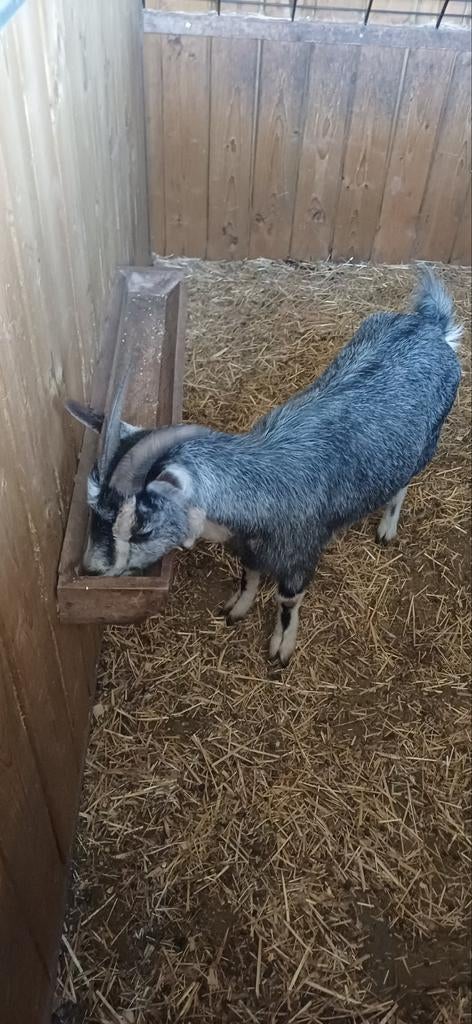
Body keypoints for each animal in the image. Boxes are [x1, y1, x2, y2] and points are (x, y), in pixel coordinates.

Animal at [66, 268, 461, 665]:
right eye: (92, 503)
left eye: (140, 526)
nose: (92, 568)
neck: (262, 484)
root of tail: (430, 325)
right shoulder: (249, 547)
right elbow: (249, 576)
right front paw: (237, 608)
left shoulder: (299, 555)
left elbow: (287, 601)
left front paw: (282, 647)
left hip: (425, 443)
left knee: (402, 482)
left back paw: (387, 527)